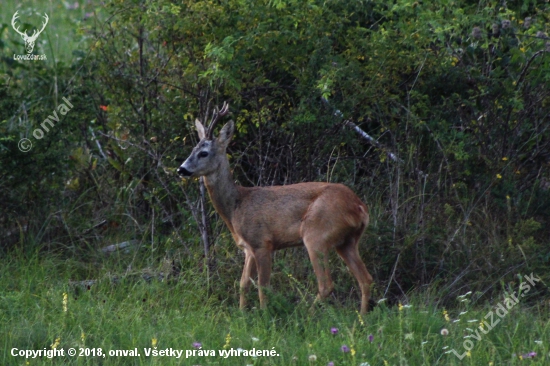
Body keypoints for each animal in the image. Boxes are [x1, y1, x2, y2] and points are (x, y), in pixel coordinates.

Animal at [178, 103, 376, 314]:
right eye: (192, 149)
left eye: (204, 153)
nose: (181, 169)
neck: (236, 207)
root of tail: (359, 207)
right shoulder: (248, 248)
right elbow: (243, 284)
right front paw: (241, 314)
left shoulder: (262, 242)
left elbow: (262, 286)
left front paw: (264, 316)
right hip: (347, 241)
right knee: (366, 279)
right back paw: (362, 317)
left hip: (317, 236)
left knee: (326, 285)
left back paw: (306, 315)